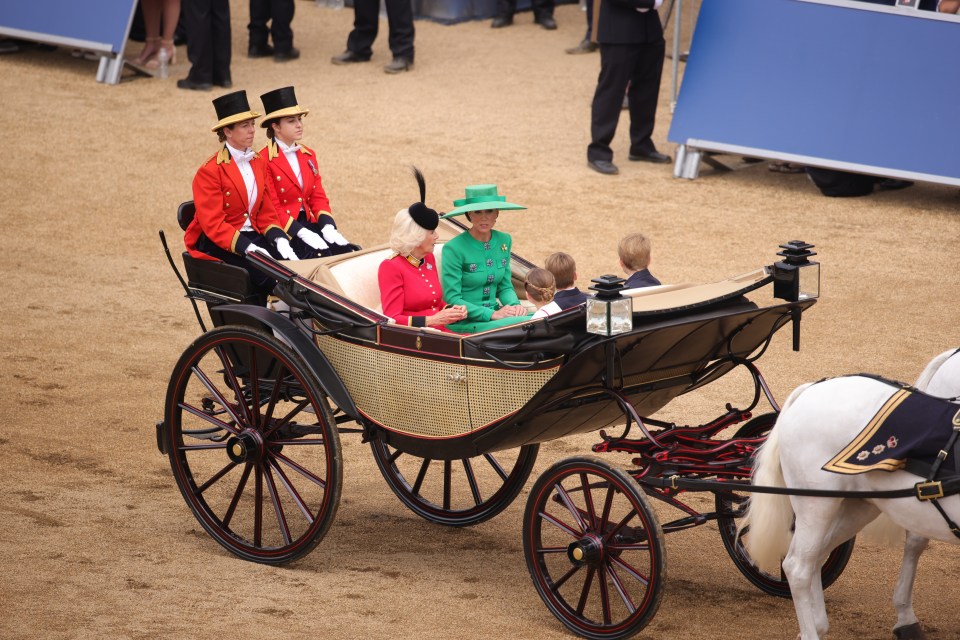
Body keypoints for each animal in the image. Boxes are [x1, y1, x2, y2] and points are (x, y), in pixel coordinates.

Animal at [744, 350, 960, 640]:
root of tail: (812, 388)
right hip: (816, 505)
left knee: (816, 556)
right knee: (797, 566)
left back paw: (819, 623)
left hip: (857, 507)